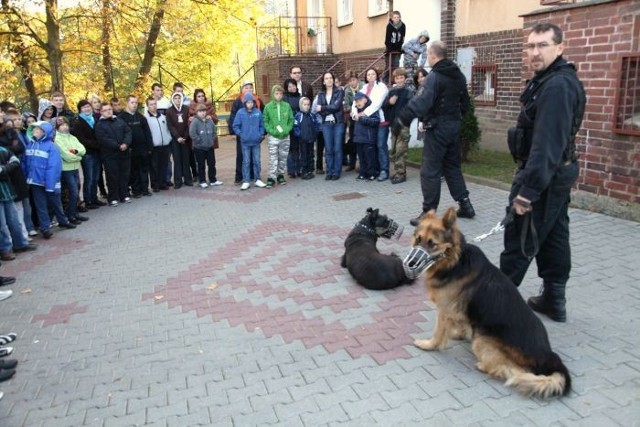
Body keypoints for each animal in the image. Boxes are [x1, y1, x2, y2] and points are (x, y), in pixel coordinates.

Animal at [412, 209, 572, 400]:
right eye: (418, 239)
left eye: (433, 244)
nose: (412, 263)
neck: (456, 261)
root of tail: (547, 354)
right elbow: (461, 323)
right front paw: (459, 333)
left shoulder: (444, 310)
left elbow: (438, 332)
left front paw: (429, 345)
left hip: (481, 341)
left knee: (515, 372)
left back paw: (485, 365)